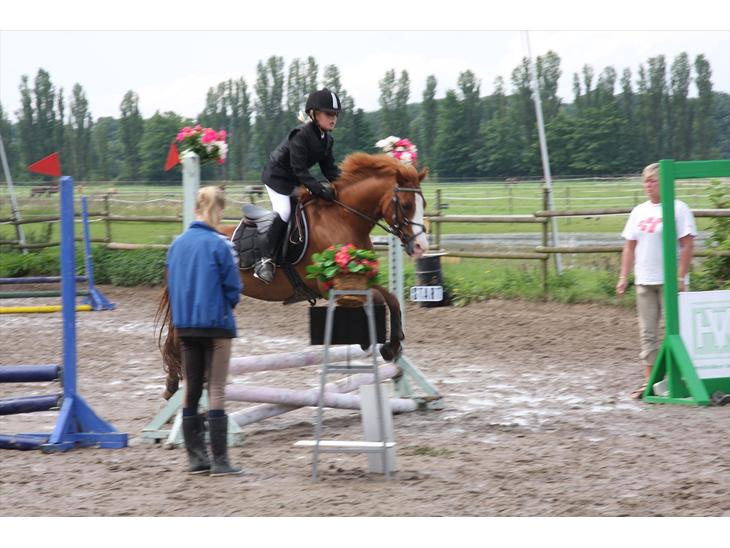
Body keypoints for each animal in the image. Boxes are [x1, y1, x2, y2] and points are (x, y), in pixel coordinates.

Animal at [156, 152, 429, 399]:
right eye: (406, 205)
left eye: (423, 205)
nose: (420, 247)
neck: (345, 218)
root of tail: (184, 239)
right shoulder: (328, 285)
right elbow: (378, 299)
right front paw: (377, 343)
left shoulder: (359, 278)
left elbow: (391, 299)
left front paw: (392, 346)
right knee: (178, 334)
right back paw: (176, 382)